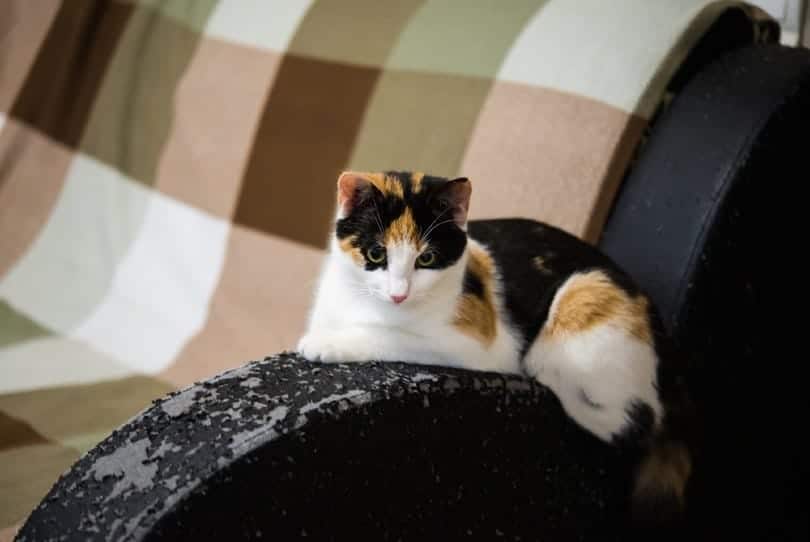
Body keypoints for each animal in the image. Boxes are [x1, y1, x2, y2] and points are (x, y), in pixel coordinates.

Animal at [296, 169, 696, 528]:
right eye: (377, 254)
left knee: (635, 420)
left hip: (585, 298)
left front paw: (327, 344)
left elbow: (392, 336)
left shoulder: (479, 345)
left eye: (426, 259)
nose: (399, 294)